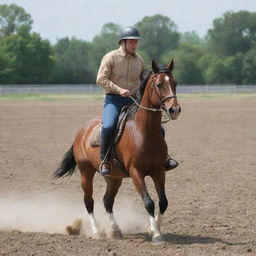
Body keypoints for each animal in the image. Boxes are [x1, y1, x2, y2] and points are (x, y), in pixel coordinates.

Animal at [54, 58, 182, 244]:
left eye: (175, 83)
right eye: (159, 84)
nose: (174, 110)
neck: (143, 132)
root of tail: (81, 131)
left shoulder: (159, 171)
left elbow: (163, 201)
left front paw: (153, 229)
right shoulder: (136, 172)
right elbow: (149, 202)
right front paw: (156, 235)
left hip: (113, 178)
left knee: (107, 201)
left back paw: (115, 230)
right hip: (86, 173)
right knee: (89, 201)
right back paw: (96, 232)